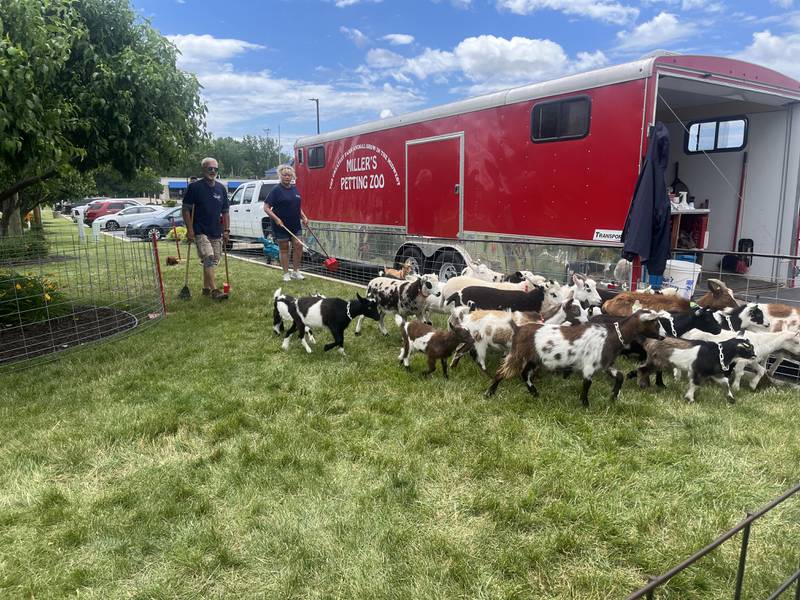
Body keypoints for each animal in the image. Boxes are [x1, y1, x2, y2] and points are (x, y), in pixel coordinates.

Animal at [488, 310, 668, 408]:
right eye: (656, 322)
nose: (665, 335)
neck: (611, 337)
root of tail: (518, 329)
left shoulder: (606, 364)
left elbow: (620, 376)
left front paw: (614, 396)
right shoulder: (589, 365)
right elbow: (587, 384)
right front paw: (585, 404)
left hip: (534, 358)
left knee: (525, 374)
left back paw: (534, 393)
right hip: (518, 354)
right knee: (502, 372)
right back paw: (490, 393)